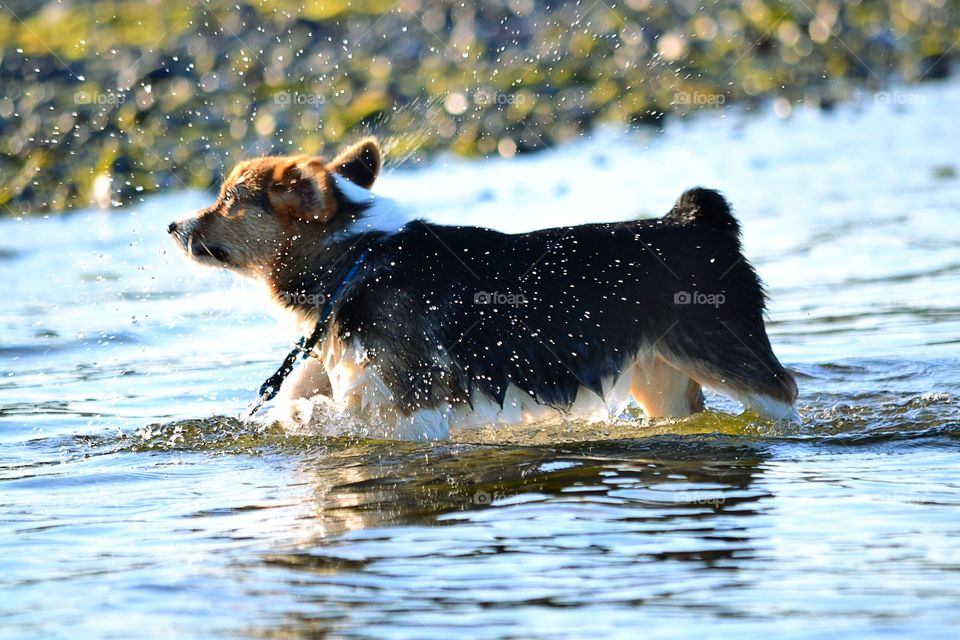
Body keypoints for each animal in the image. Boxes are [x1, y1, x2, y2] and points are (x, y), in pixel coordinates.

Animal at [169, 138, 800, 440]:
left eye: (228, 199)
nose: (172, 226)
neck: (357, 258)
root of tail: (696, 219)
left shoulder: (414, 405)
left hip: (722, 350)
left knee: (782, 392)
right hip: (659, 373)